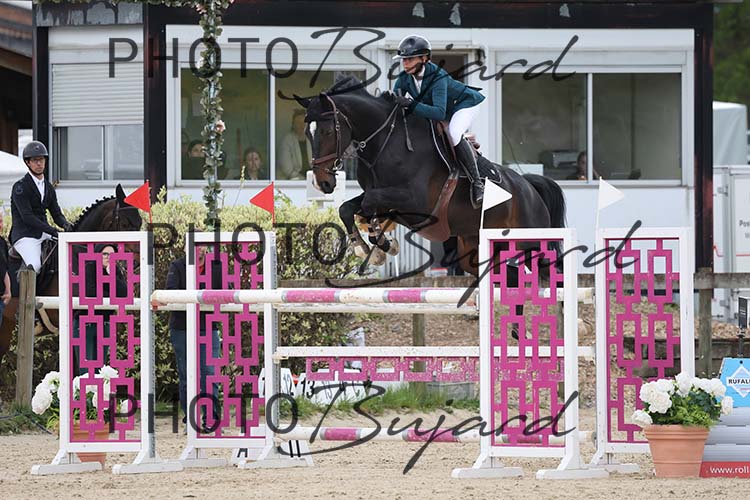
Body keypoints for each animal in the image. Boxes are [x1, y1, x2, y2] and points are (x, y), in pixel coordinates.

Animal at [297, 77, 566, 277]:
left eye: (327, 131)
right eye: (308, 132)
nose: (322, 182)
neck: (386, 142)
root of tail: (529, 187)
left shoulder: (416, 203)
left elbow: (368, 204)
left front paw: (381, 244)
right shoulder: (384, 196)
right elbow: (348, 208)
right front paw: (373, 248)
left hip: (531, 244)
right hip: (476, 250)